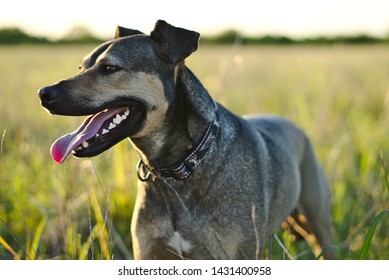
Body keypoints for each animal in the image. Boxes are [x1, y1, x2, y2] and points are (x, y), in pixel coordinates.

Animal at [39, 20, 334, 260]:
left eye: (110, 68)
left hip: (319, 225)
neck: (179, 166)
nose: (44, 94)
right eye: (81, 67)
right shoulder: (149, 253)